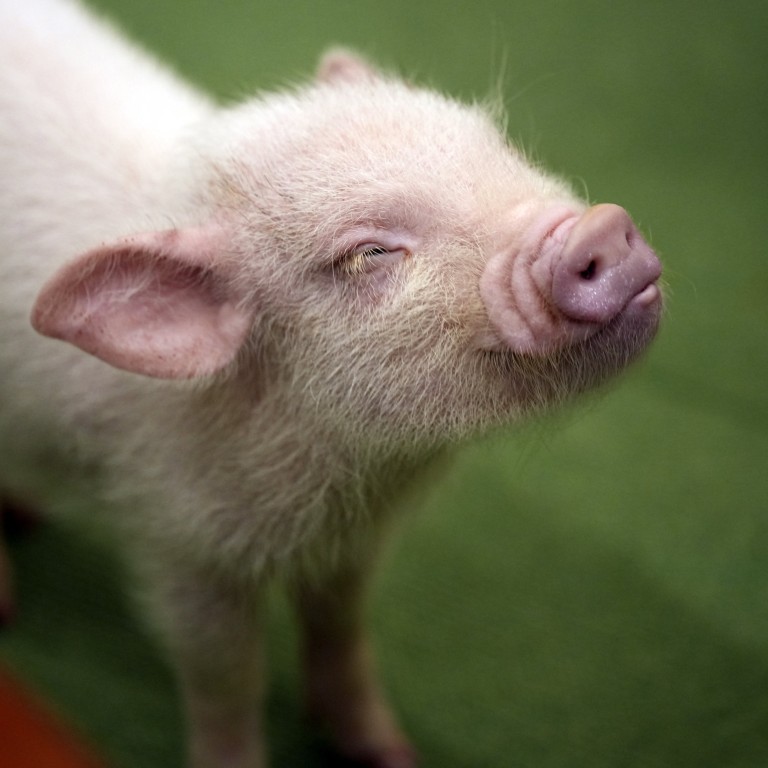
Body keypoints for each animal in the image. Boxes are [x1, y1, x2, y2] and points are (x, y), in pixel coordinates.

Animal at [0, 0, 663, 766]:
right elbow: (226, 676)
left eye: (499, 148)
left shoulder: (353, 543)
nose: (602, 228)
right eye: (368, 254)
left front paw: (391, 752)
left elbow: (342, 628)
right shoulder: (181, 541)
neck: (342, 479)